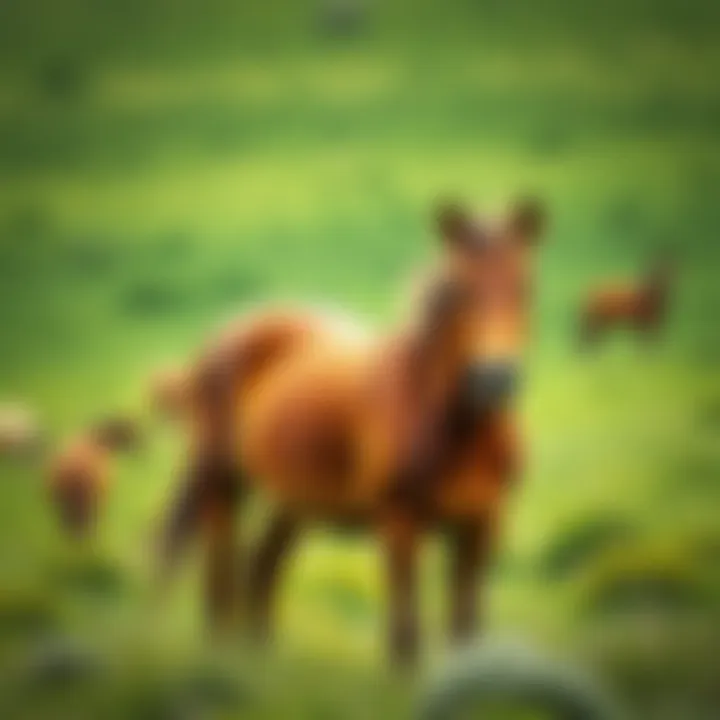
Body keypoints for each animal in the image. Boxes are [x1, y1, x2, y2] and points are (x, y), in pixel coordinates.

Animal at [157, 198, 547, 666]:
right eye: (460, 291)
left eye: (525, 286)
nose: (494, 379)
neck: (458, 430)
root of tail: (232, 330)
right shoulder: (399, 522)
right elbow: (404, 636)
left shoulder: (481, 525)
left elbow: (466, 629)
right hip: (222, 482)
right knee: (220, 578)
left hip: (294, 500)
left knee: (261, 568)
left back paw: (260, 660)